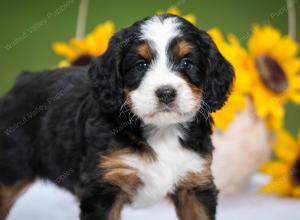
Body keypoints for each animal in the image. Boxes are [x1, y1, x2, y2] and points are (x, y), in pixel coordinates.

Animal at [0, 14, 234, 220]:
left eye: (186, 63)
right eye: (141, 64)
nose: (166, 93)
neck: (162, 132)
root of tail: (21, 81)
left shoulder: (195, 183)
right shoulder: (103, 190)